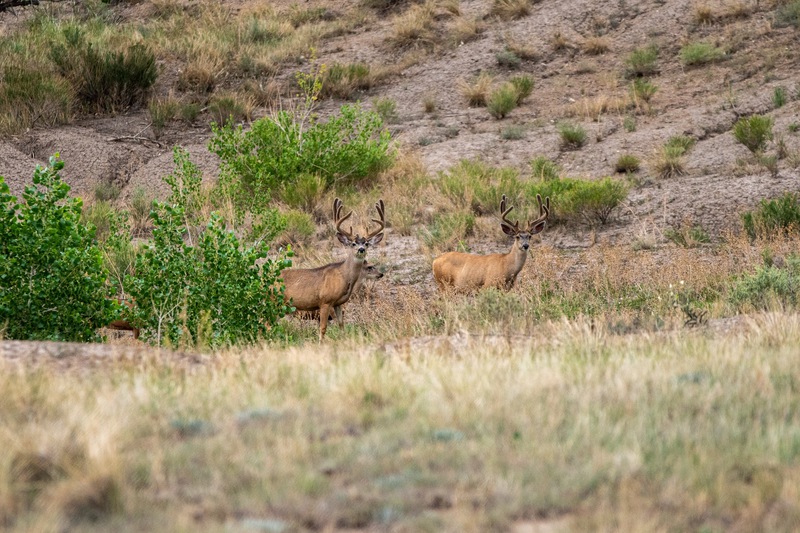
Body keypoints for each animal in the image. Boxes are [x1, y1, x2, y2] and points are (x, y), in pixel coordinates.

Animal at [282, 197, 384, 338]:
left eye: (367, 243)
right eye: (353, 243)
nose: (361, 249)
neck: (343, 277)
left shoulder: (338, 303)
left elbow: (341, 326)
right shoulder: (325, 302)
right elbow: (323, 328)